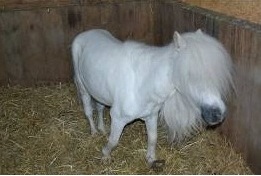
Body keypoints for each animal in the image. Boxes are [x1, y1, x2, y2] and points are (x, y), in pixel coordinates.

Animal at [70, 28, 232, 166]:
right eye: (190, 76)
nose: (217, 114)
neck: (142, 83)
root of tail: (86, 33)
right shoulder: (118, 118)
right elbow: (113, 141)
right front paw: (105, 156)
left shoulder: (151, 116)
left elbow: (153, 139)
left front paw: (151, 159)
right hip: (83, 87)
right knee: (88, 111)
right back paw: (94, 132)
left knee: (99, 107)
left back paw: (102, 129)